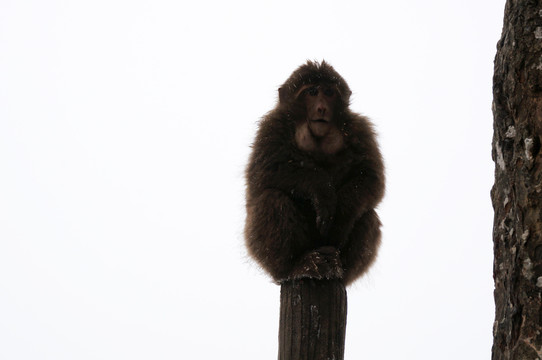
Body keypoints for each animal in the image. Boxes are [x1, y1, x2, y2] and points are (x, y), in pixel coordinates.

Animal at [244, 60, 384, 286]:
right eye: (311, 92)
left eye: (328, 92)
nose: (321, 107)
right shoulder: (272, 126)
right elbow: (263, 173)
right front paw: (322, 190)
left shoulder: (360, 130)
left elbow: (370, 177)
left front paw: (341, 213)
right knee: (271, 198)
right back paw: (294, 268)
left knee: (367, 214)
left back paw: (338, 268)